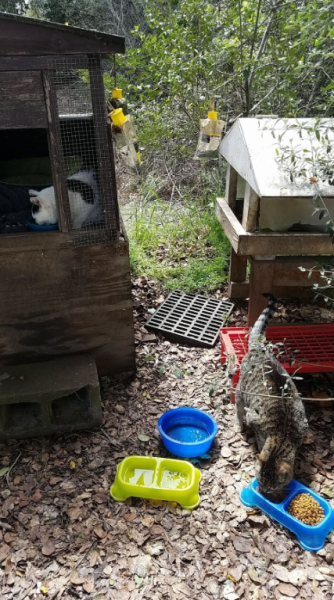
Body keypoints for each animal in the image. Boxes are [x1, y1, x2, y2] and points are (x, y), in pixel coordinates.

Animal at [235, 294, 308, 496]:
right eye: (259, 480)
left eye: (272, 486)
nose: (262, 490)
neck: (282, 436)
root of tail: (259, 349)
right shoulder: (254, 418)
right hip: (240, 392)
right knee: (238, 409)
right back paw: (240, 425)